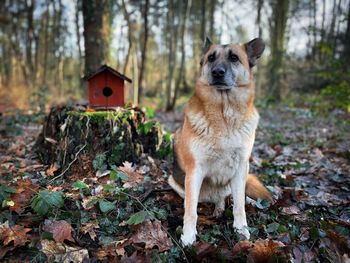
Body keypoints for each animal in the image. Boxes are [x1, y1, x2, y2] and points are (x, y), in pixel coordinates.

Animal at [168, 37, 272, 248]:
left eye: (234, 58)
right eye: (211, 58)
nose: (217, 72)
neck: (225, 114)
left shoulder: (240, 168)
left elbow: (239, 205)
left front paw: (241, 230)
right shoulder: (195, 171)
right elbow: (190, 211)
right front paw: (188, 236)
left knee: (231, 196)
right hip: (176, 181)